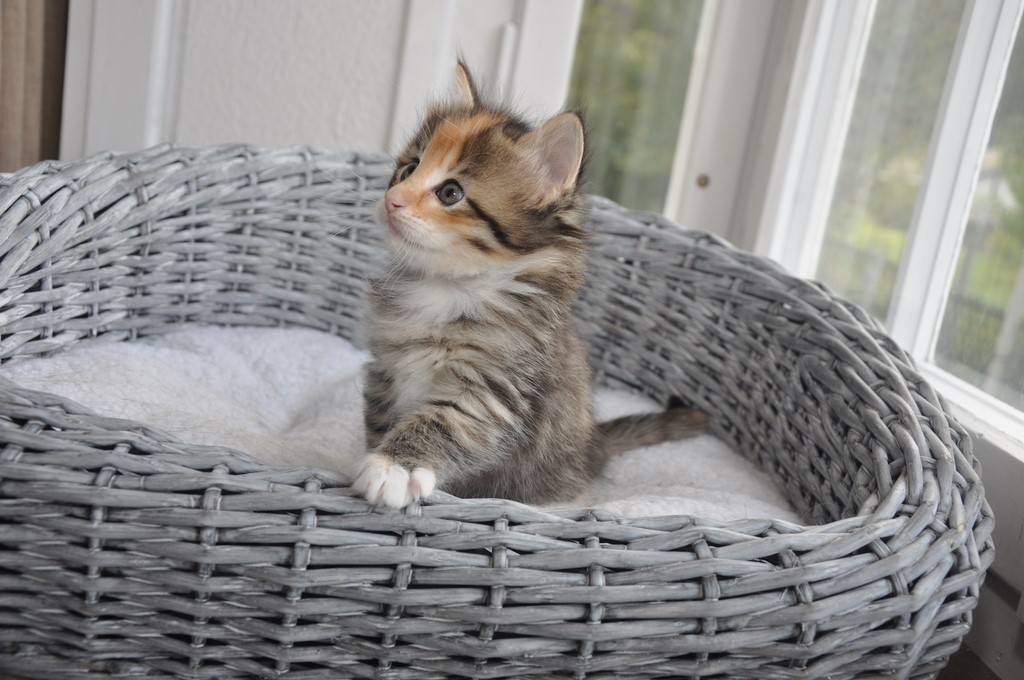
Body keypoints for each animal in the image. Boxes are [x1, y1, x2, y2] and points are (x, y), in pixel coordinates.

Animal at [352, 61, 706, 508]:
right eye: (409, 168)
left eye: (450, 193)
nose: (391, 199)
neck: (447, 288)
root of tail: (594, 447)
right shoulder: (385, 370)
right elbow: (379, 423)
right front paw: (370, 462)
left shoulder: (494, 391)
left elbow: (442, 423)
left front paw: (392, 469)